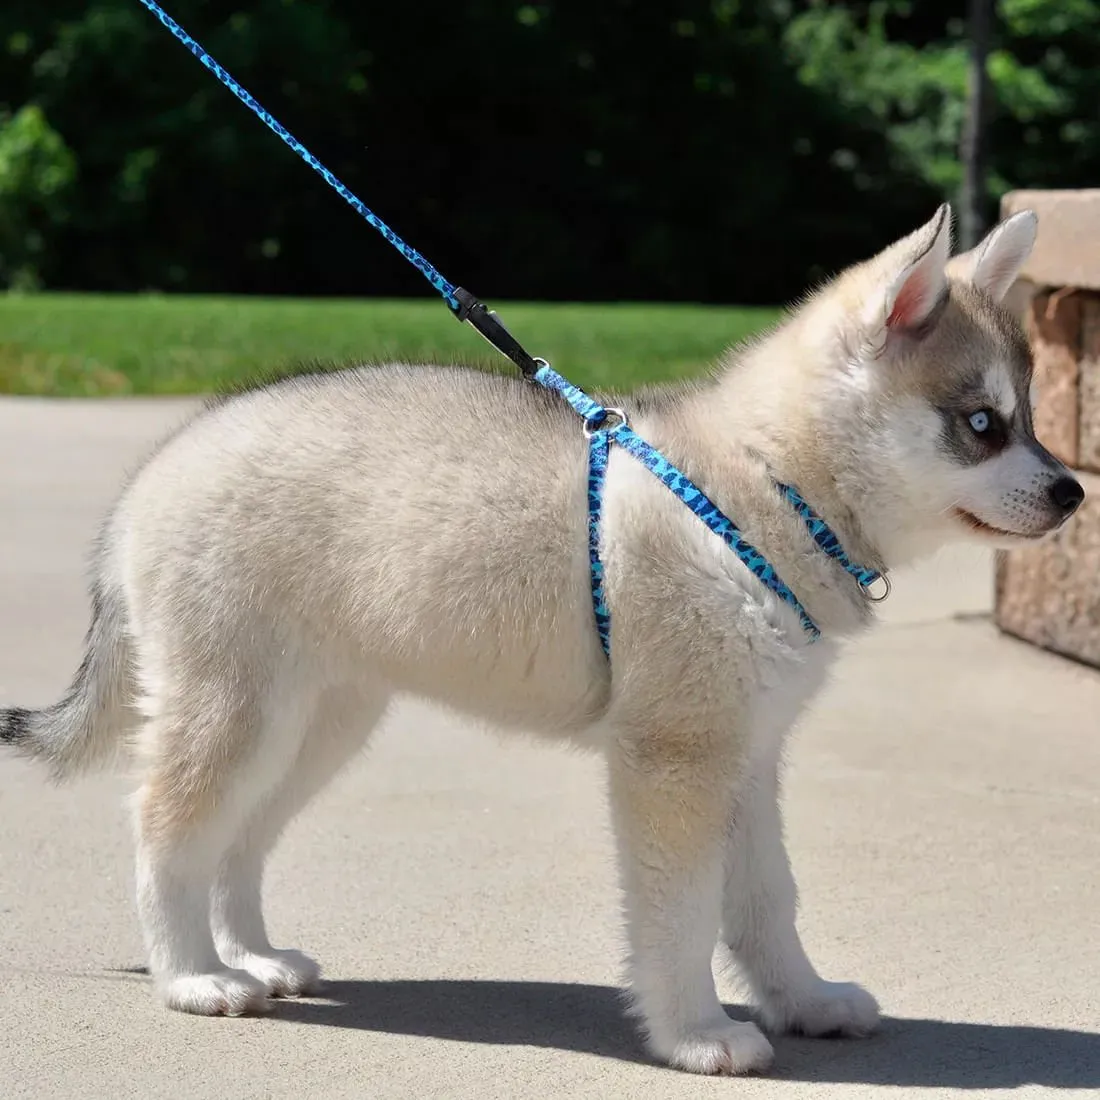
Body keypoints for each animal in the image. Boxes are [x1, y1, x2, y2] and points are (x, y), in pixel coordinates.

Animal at [0, 204, 1082, 1073]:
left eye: (1029, 415)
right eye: (980, 423)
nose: (1073, 491)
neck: (758, 485)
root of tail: (158, 466)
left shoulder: (746, 755)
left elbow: (767, 898)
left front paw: (803, 999)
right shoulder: (673, 760)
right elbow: (682, 912)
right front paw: (695, 1031)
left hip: (319, 724)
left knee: (240, 839)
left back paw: (254, 956)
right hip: (238, 708)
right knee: (167, 827)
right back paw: (193, 976)